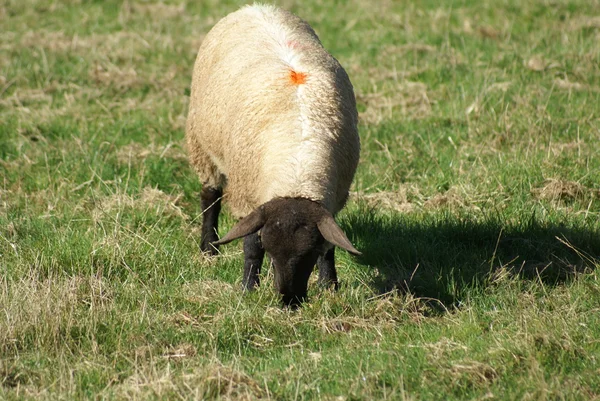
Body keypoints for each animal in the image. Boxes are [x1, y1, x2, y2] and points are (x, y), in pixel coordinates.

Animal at [185, 3, 358, 304]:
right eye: (271, 249)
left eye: (309, 253)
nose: (289, 300)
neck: (296, 172)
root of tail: (257, 7)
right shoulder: (248, 196)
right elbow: (250, 246)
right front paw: (247, 287)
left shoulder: (333, 200)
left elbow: (330, 246)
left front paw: (329, 285)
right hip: (202, 145)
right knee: (210, 197)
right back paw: (208, 249)